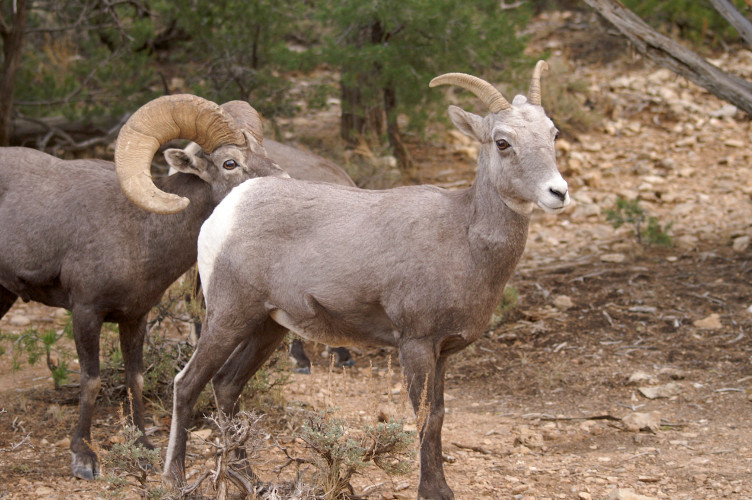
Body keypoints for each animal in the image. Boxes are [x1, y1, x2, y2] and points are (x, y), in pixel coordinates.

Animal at [0, 94, 353, 480]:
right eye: (230, 162)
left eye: (262, 151)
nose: (286, 186)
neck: (138, 230)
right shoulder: (86, 312)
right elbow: (91, 380)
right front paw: (84, 458)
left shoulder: (135, 317)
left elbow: (135, 378)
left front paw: (143, 446)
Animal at [153, 61, 569, 499]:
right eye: (502, 142)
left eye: (552, 134)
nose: (558, 192)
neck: (466, 238)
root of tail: (230, 209)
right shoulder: (416, 345)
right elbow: (425, 416)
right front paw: (432, 490)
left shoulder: (441, 353)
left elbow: (438, 415)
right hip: (228, 318)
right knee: (187, 384)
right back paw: (174, 479)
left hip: (267, 328)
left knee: (226, 386)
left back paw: (248, 480)